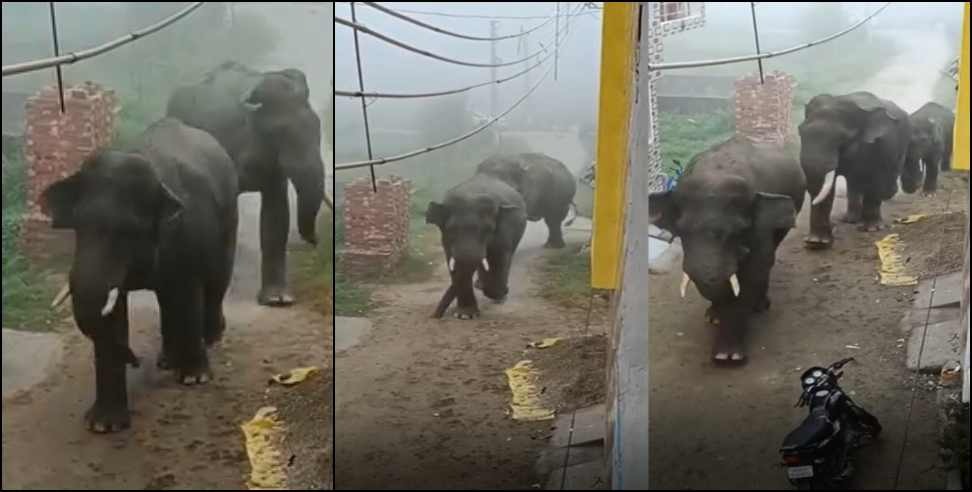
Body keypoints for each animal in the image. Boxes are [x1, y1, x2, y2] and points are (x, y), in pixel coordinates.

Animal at [41, 118, 239, 430]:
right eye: (78, 225)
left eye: (129, 229)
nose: (134, 360)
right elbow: (112, 310)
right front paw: (104, 425)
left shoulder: (189, 233)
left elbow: (189, 291)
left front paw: (194, 378)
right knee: (167, 298)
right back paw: (167, 360)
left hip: (229, 215)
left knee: (216, 279)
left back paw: (209, 339)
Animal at [426, 173, 528, 320]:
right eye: (451, 230)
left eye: (488, 230)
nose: (434, 315)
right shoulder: (446, 240)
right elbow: (454, 262)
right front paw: (465, 315)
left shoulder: (503, 232)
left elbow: (498, 257)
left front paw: (498, 293)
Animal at [644, 136, 804, 364]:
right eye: (681, 230)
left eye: (739, 230)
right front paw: (714, 318)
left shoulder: (760, 230)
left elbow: (754, 272)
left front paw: (729, 356)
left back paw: (760, 306)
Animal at [796, 90, 912, 248]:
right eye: (800, 132)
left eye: (842, 139)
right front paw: (816, 243)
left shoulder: (880, 145)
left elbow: (876, 178)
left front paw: (871, 229)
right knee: (854, 182)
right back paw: (851, 220)